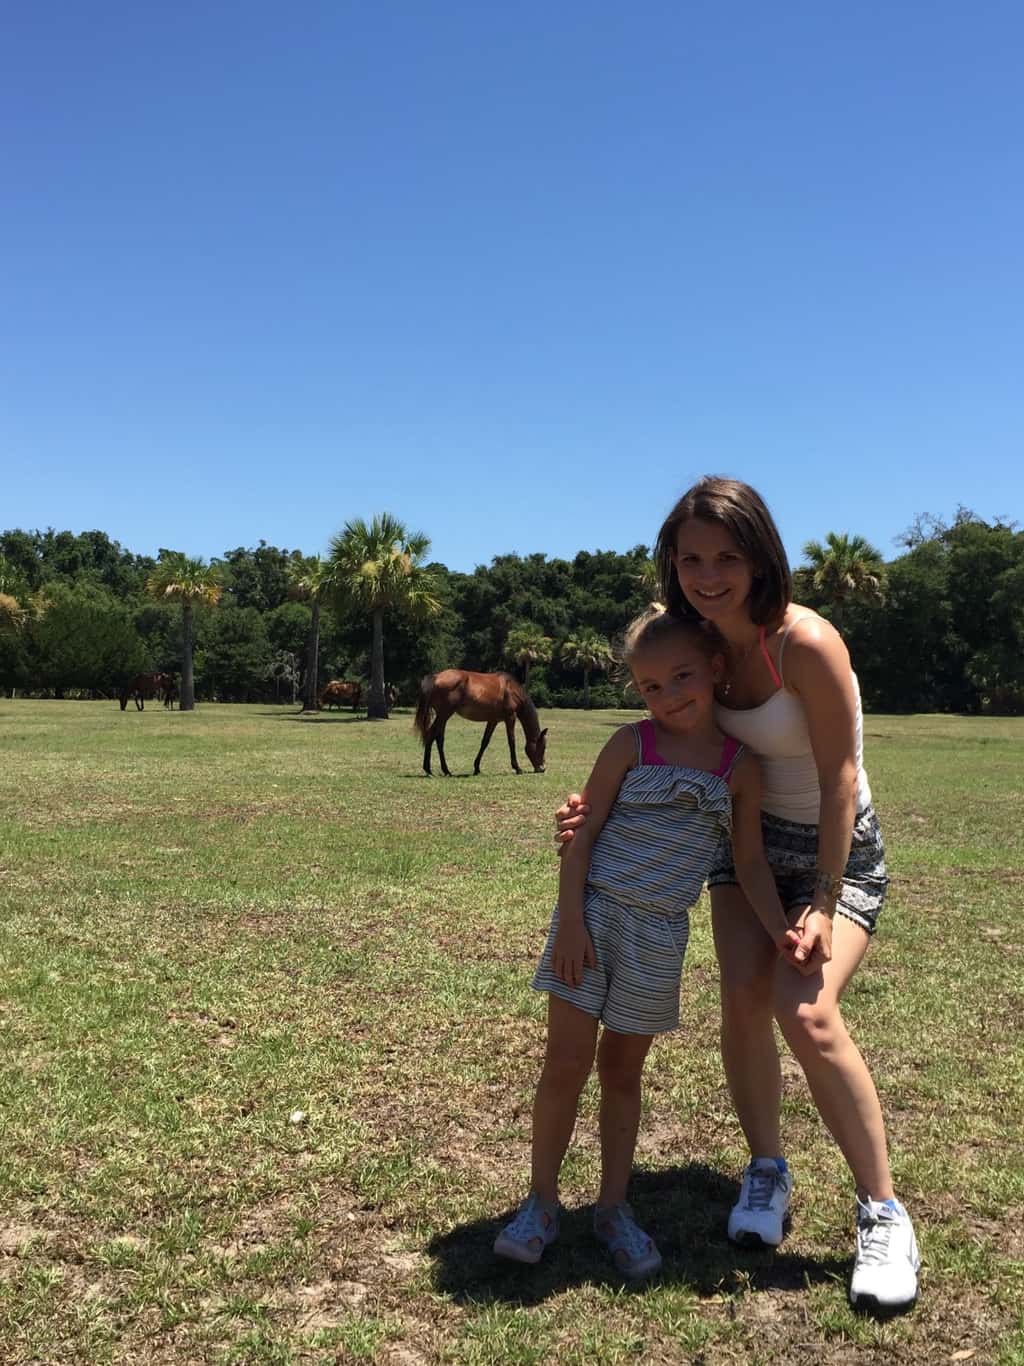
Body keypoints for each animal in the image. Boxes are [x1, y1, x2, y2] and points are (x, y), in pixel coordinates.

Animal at [414, 670, 548, 776]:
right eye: (543, 747)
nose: (542, 768)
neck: (511, 689)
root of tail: (436, 677)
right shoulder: (510, 718)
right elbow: (511, 741)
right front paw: (517, 768)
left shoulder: (493, 721)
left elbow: (484, 742)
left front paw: (477, 768)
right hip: (444, 715)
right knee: (433, 735)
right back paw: (432, 770)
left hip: (443, 716)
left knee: (437, 738)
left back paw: (441, 770)